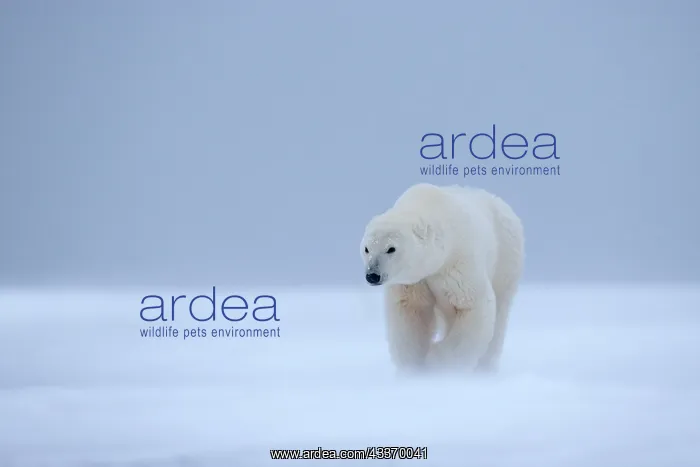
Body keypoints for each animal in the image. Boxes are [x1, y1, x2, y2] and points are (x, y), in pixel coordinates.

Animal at [360, 182, 524, 373]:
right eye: (367, 249)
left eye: (391, 248)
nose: (372, 275)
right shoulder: (415, 281)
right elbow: (411, 311)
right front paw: (413, 366)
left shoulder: (457, 264)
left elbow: (471, 305)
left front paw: (438, 362)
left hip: (506, 258)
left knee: (500, 310)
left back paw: (485, 366)